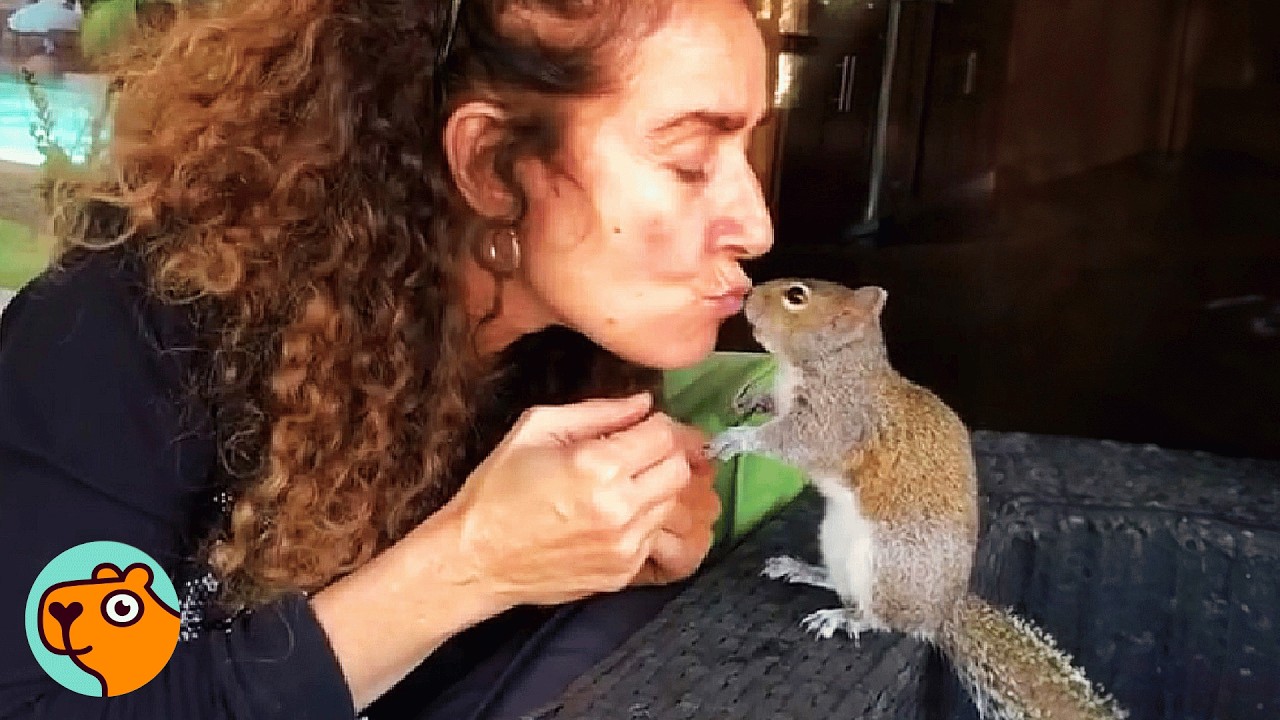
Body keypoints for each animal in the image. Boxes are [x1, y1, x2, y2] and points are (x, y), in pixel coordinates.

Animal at [708, 278, 1127, 720]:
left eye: (796, 296)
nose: (748, 296)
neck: (834, 362)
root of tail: (942, 610)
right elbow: (770, 406)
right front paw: (751, 400)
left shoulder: (837, 422)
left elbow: (793, 441)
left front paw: (739, 439)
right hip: (836, 540)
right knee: (841, 583)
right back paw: (805, 570)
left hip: (886, 566)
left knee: (885, 619)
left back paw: (845, 618)